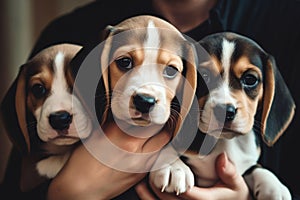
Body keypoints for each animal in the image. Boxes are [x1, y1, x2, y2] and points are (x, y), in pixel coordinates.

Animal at [151, 32, 296, 199]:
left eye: (250, 79)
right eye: (205, 76)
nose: (225, 111)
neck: (224, 141)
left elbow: (256, 168)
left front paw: (274, 187)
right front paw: (173, 167)